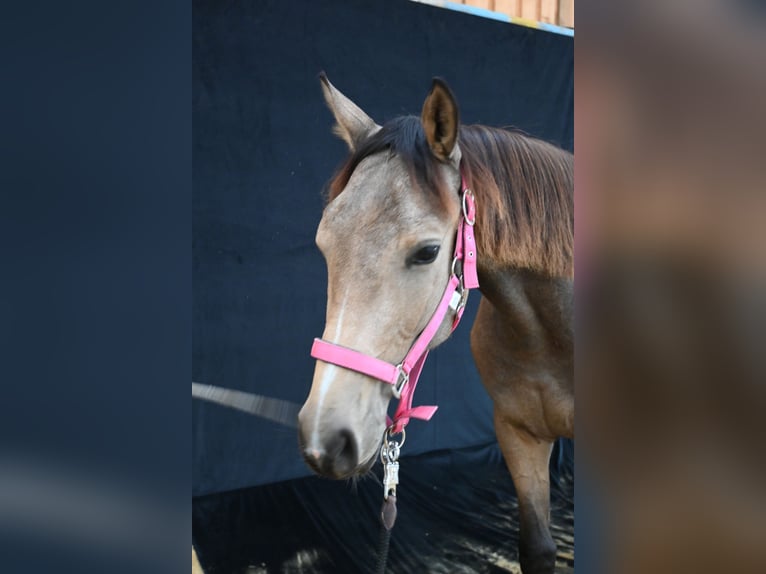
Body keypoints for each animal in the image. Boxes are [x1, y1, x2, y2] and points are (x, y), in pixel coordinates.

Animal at [296, 73, 572, 574]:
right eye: (324, 243)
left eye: (427, 252)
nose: (325, 438)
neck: (552, 335)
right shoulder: (518, 435)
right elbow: (538, 548)